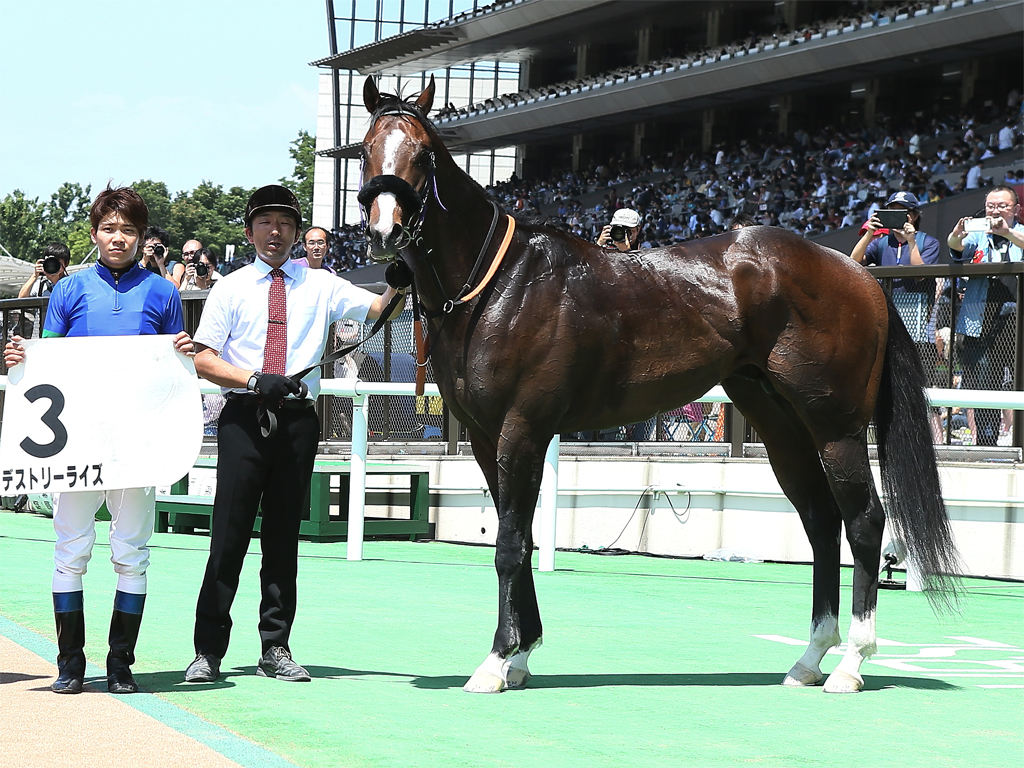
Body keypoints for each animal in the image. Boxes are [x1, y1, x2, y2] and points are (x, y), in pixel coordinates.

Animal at [358, 76, 958, 696]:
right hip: (779, 424)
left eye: (423, 155)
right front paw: (523, 654)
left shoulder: (521, 430)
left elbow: (508, 545)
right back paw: (810, 657)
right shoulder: (484, 438)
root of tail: (858, 272)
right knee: (820, 521)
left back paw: (851, 663)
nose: (383, 231)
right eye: (365, 150)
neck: (501, 283)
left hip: (835, 426)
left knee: (863, 521)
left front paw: (497, 661)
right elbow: (515, 537)